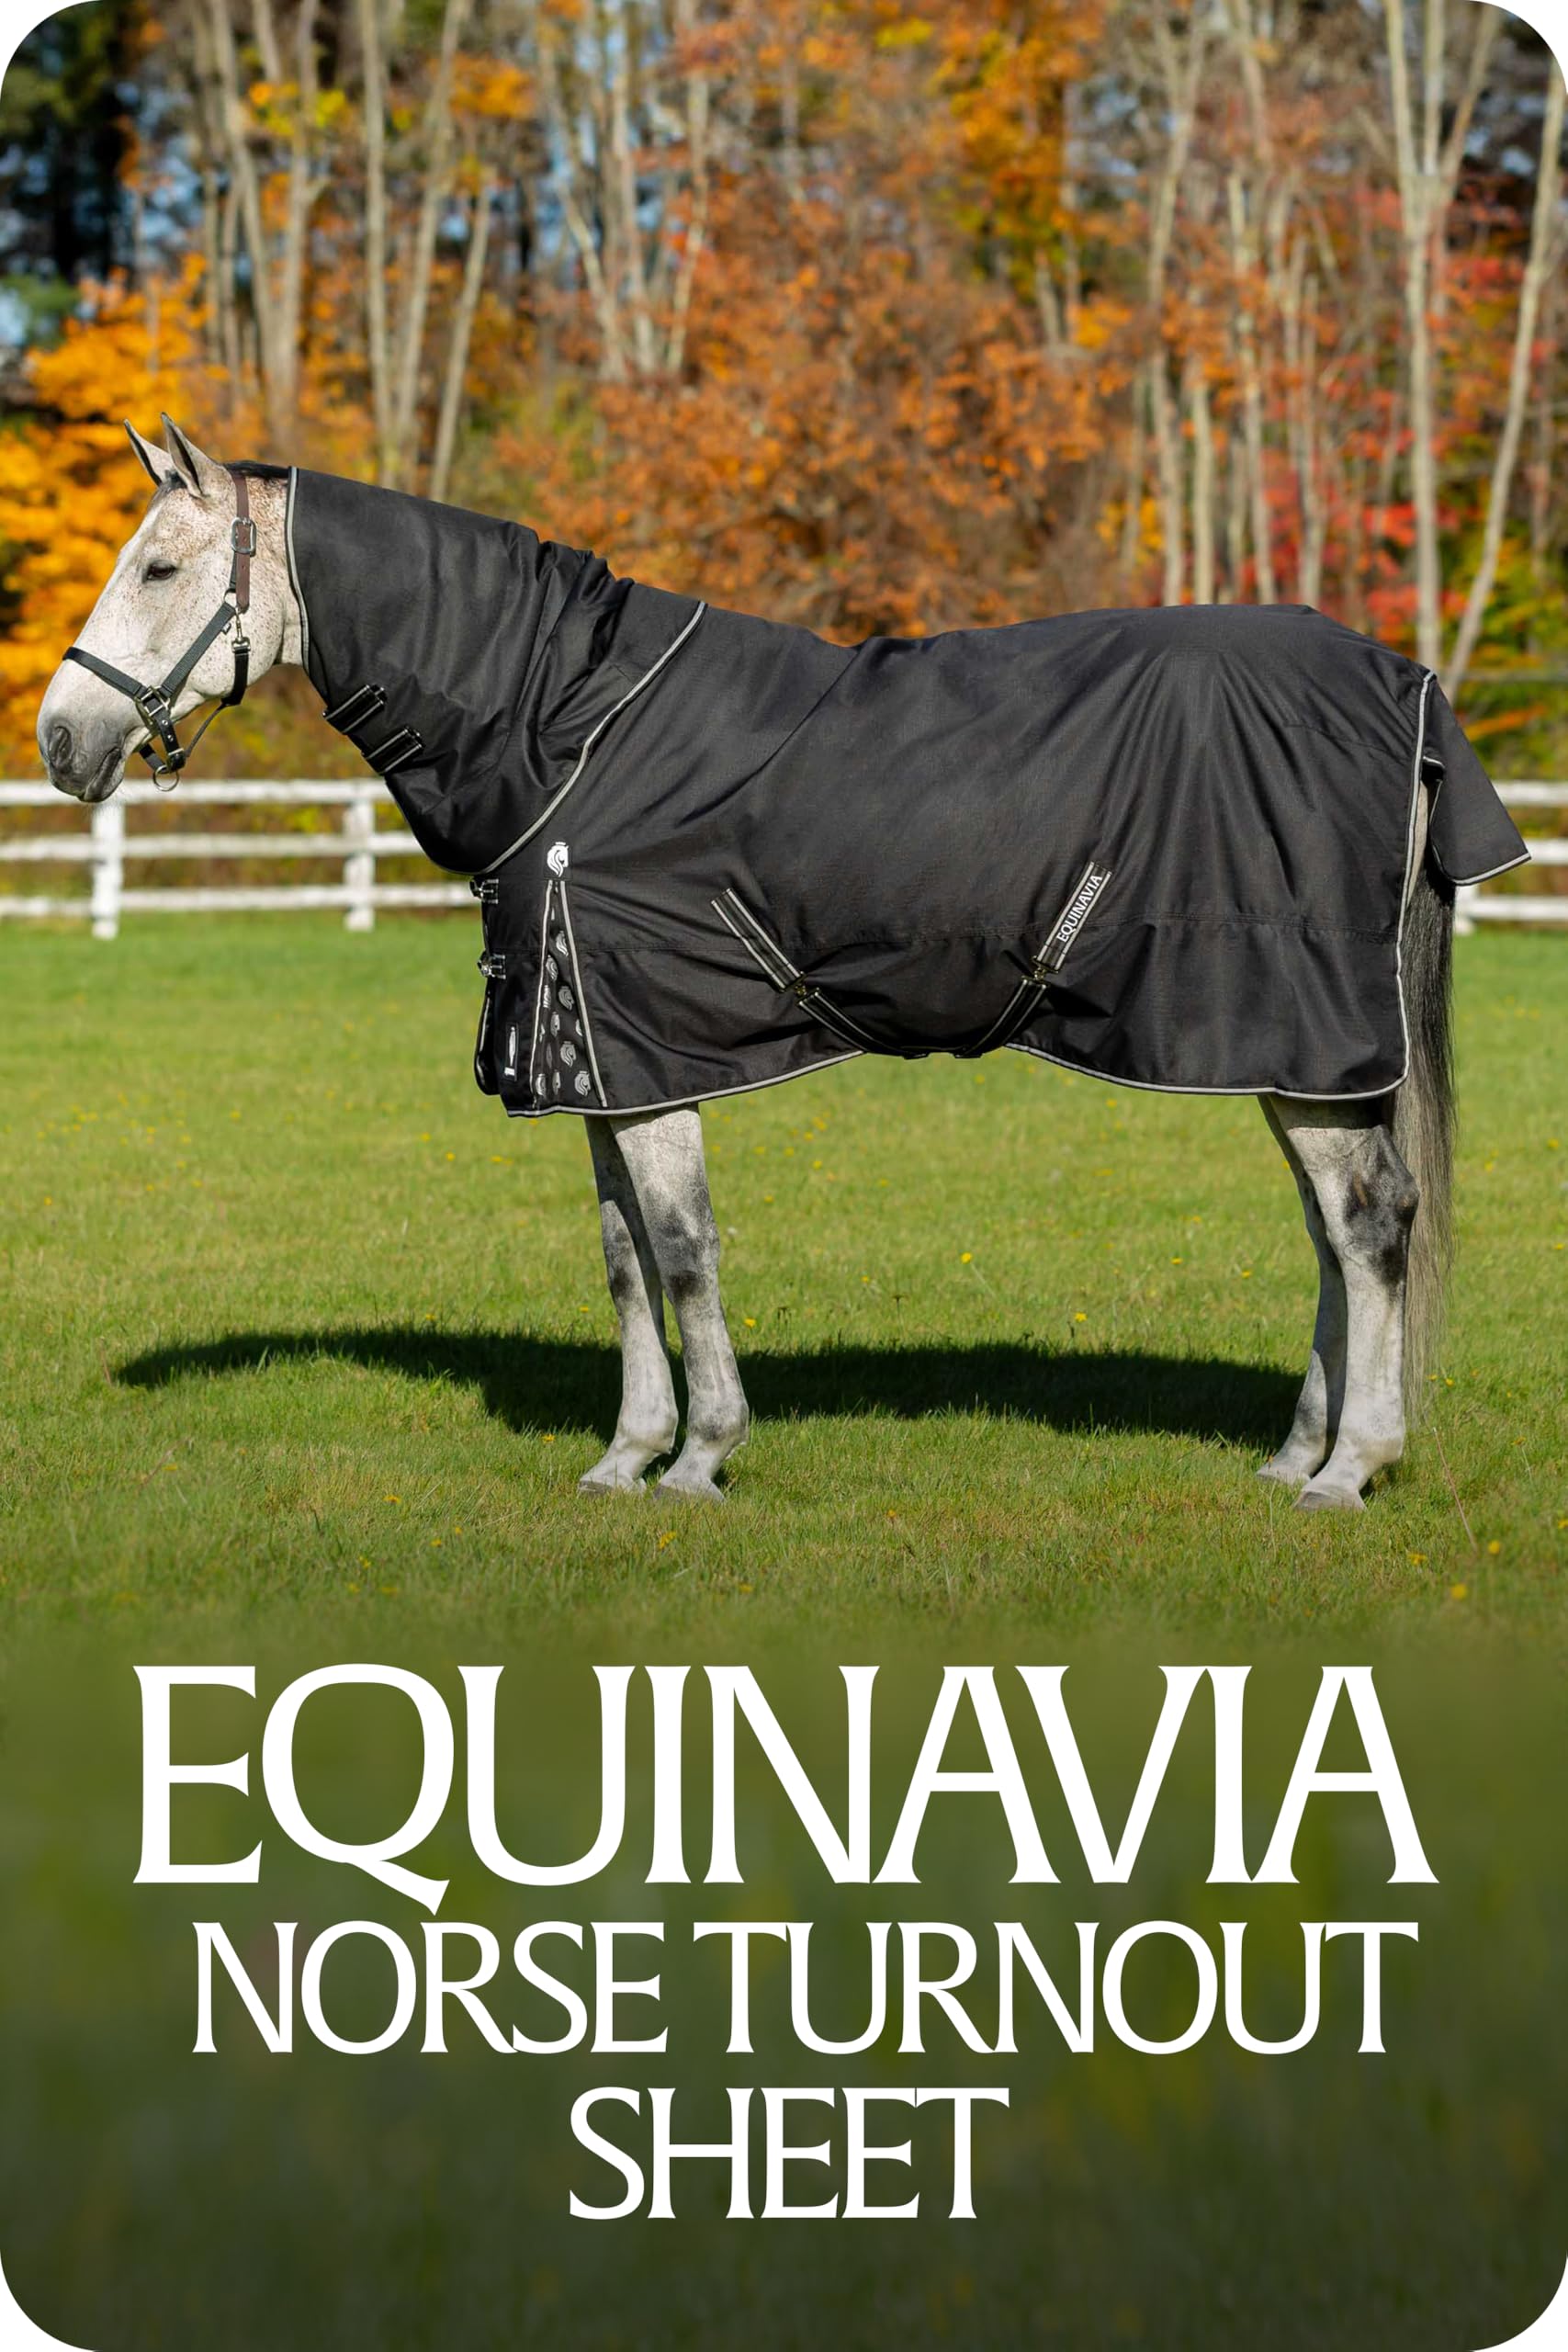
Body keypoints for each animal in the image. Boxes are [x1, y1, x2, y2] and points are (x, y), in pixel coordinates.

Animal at [37, 418, 1527, 1511]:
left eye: (160, 571)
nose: (58, 741)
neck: (567, 727)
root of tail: (1400, 684)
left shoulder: (646, 1053)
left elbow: (686, 1252)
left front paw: (701, 1459)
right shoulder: (597, 1061)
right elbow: (623, 1259)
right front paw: (626, 1457)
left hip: (1294, 1036)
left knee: (1370, 1223)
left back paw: (1350, 1471)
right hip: (1290, 1058)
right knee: (1336, 1233)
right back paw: (1295, 1454)